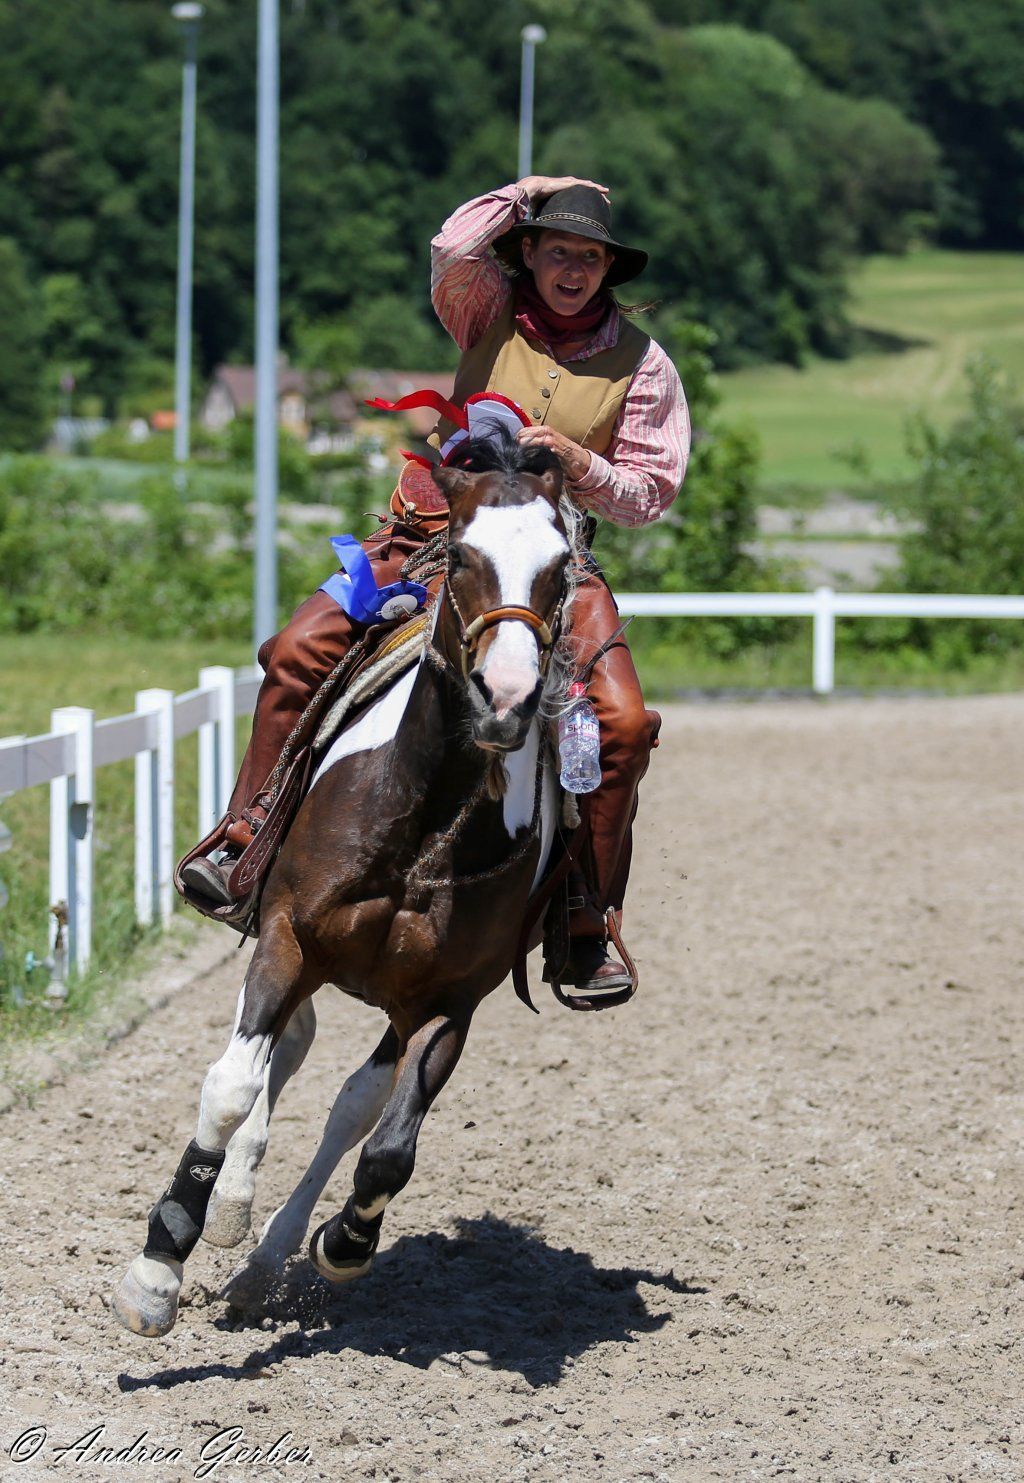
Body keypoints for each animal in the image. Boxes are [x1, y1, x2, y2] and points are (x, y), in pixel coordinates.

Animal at [112, 430, 582, 1337]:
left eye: (560, 565)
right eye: (463, 554)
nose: (506, 696)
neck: (422, 825)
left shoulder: (449, 1002)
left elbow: (387, 1143)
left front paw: (345, 1240)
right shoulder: (288, 936)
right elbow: (231, 1086)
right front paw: (158, 1266)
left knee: (345, 1100)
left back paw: (261, 1258)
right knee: (278, 1050)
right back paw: (230, 1208)